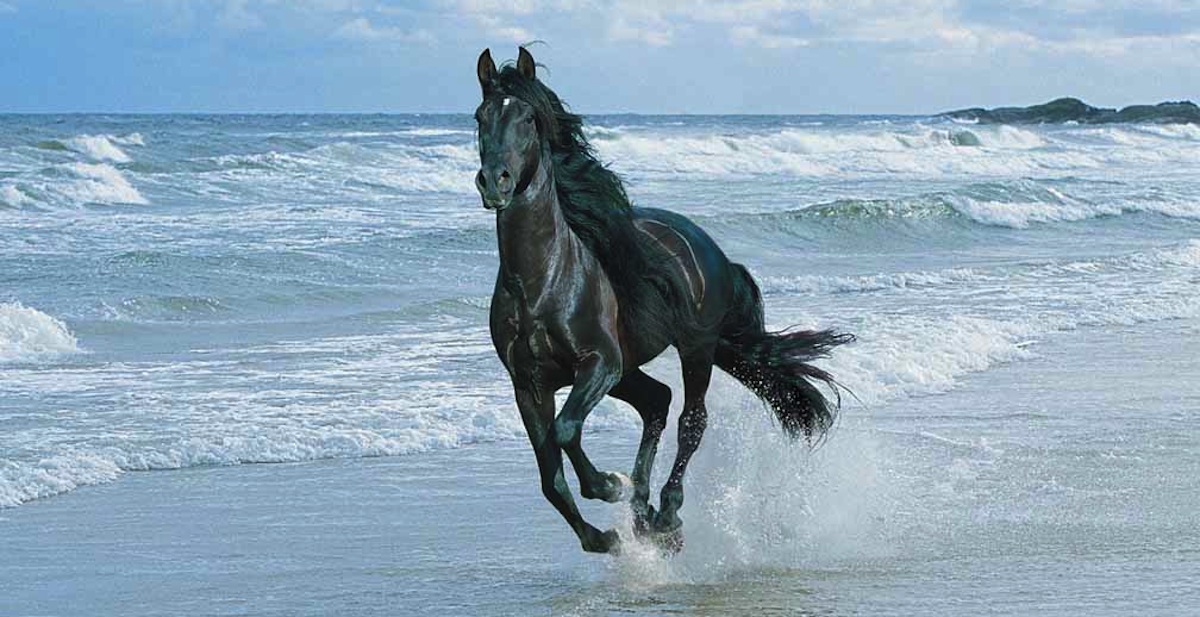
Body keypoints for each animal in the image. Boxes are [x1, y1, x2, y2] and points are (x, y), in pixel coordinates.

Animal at [474, 47, 854, 554]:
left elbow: (567, 431)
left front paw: (609, 485)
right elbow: (550, 477)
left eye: (529, 119)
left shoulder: (599, 363)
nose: (494, 182)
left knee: (691, 420)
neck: (542, 282)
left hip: (694, 349)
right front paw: (604, 536)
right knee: (657, 401)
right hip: (631, 369)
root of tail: (710, 248)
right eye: (480, 117)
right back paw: (643, 513)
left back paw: (666, 513)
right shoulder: (528, 384)